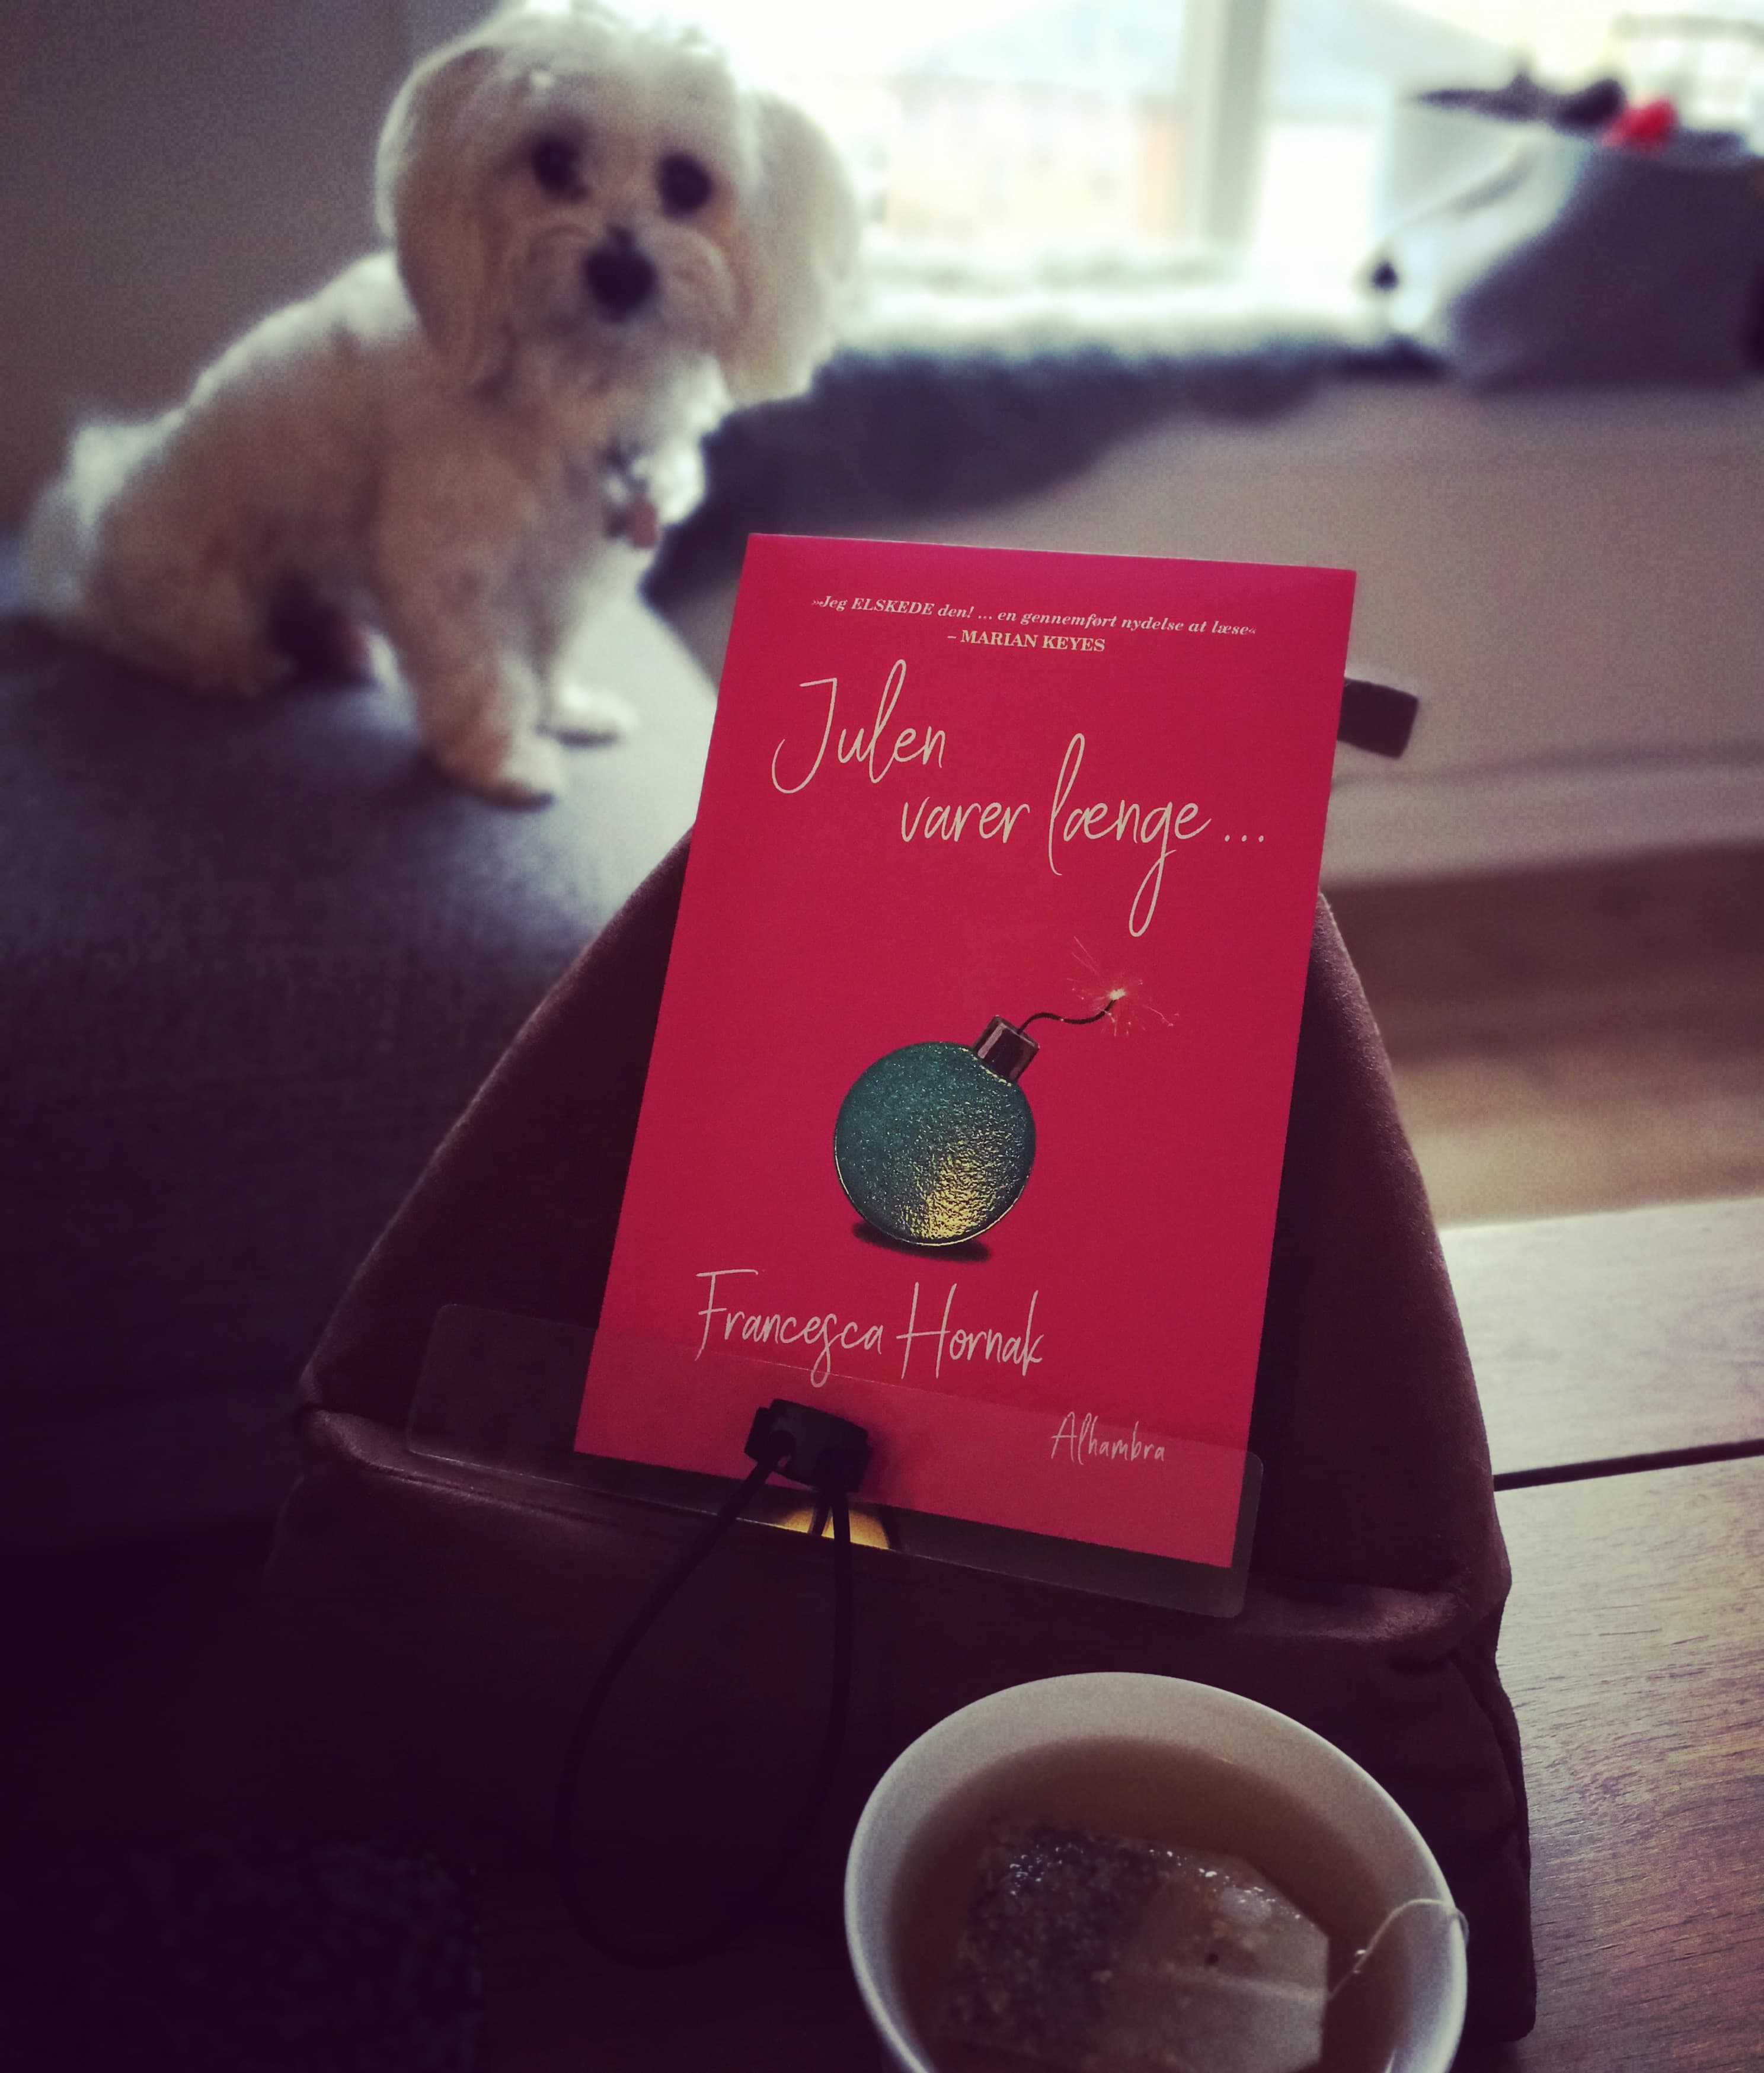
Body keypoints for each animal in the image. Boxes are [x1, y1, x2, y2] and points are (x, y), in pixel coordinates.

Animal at [24, 1, 858, 802]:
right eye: (552, 162)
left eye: (687, 183)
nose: (620, 272)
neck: (573, 383)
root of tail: (86, 532)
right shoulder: (445, 565)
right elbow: (482, 673)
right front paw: (505, 761)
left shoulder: (574, 566)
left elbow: (551, 647)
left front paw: (566, 709)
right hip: (196, 589)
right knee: (161, 637)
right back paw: (238, 663)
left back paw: (346, 642)